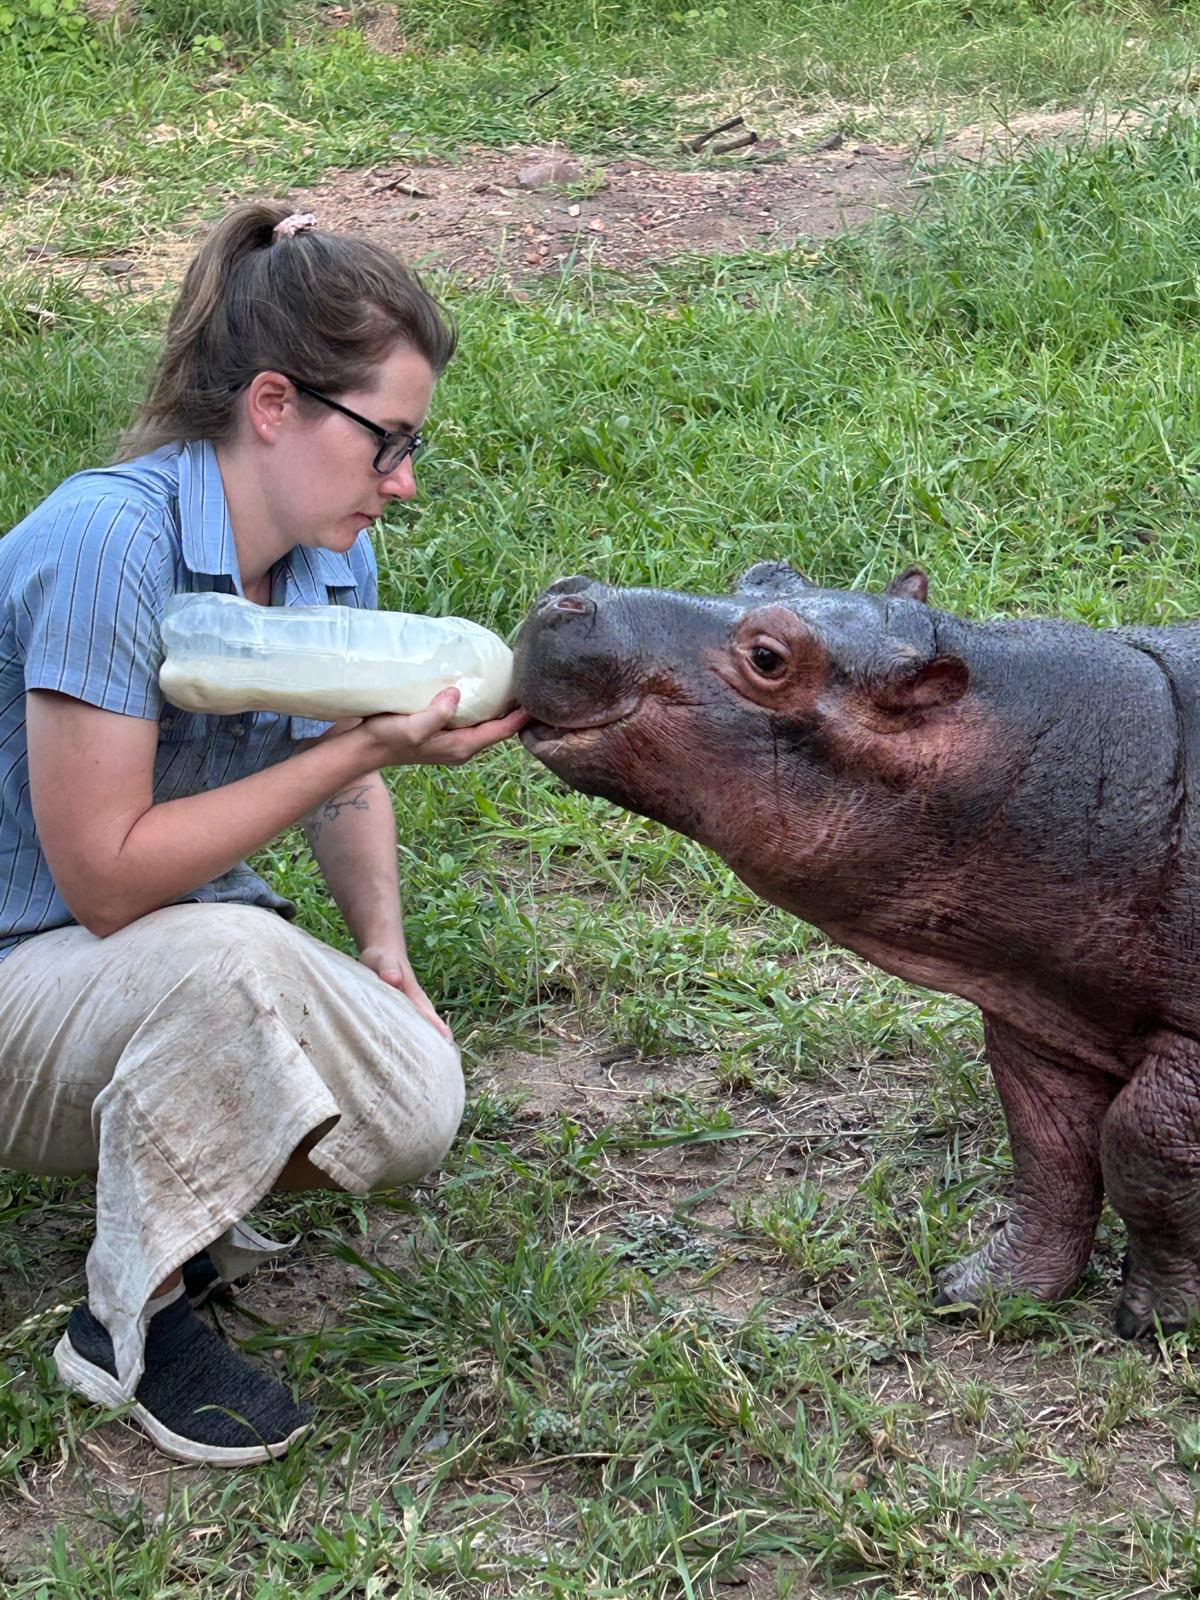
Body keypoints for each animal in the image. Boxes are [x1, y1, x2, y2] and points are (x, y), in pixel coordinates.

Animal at [512, 563, 1200, 1338]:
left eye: (769, 658)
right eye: (763, 572)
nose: (568, 594)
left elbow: (1145, 1150)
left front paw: (1157, 1322)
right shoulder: (1043, 1008)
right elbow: (1050, 1153)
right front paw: (981, 1292)